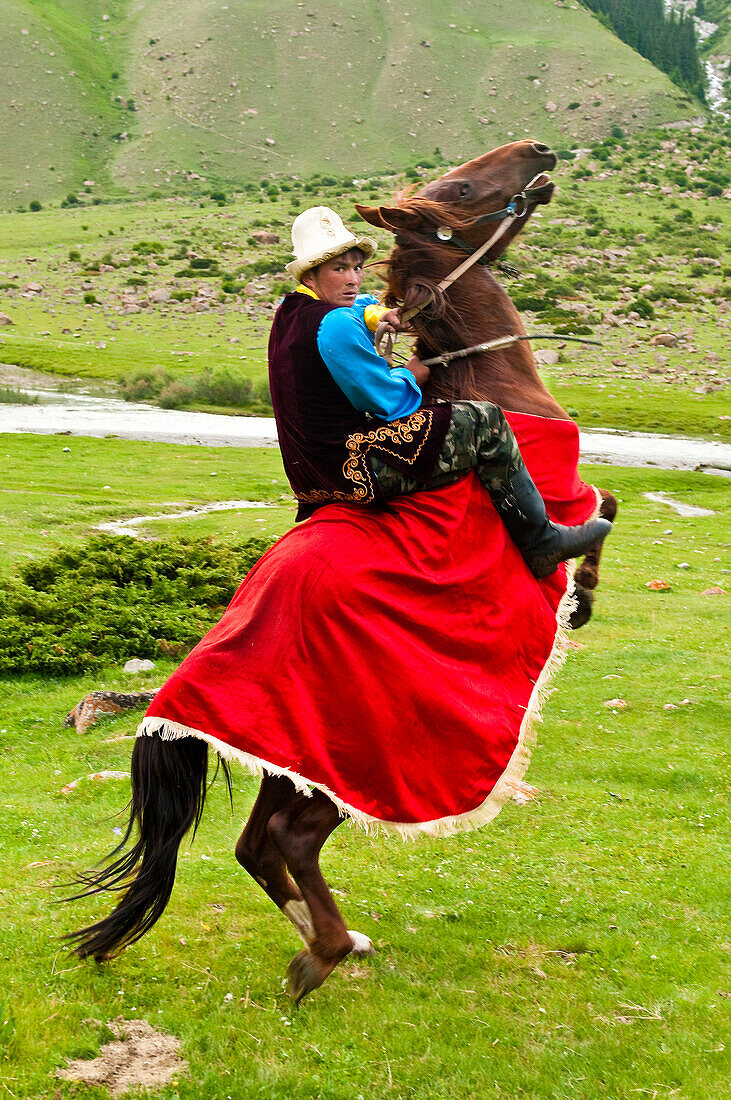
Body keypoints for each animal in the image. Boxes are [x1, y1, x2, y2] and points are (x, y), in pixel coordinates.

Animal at [67, 139, 615, 1007]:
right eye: (462, 190)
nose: (538, 152)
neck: (489, 381)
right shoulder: (561, 478)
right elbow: (598, 515)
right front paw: (576, 579)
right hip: (338, 765)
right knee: (287, 840)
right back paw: (322, 951)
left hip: (287, 761)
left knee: (257, 844)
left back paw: (338, 939)